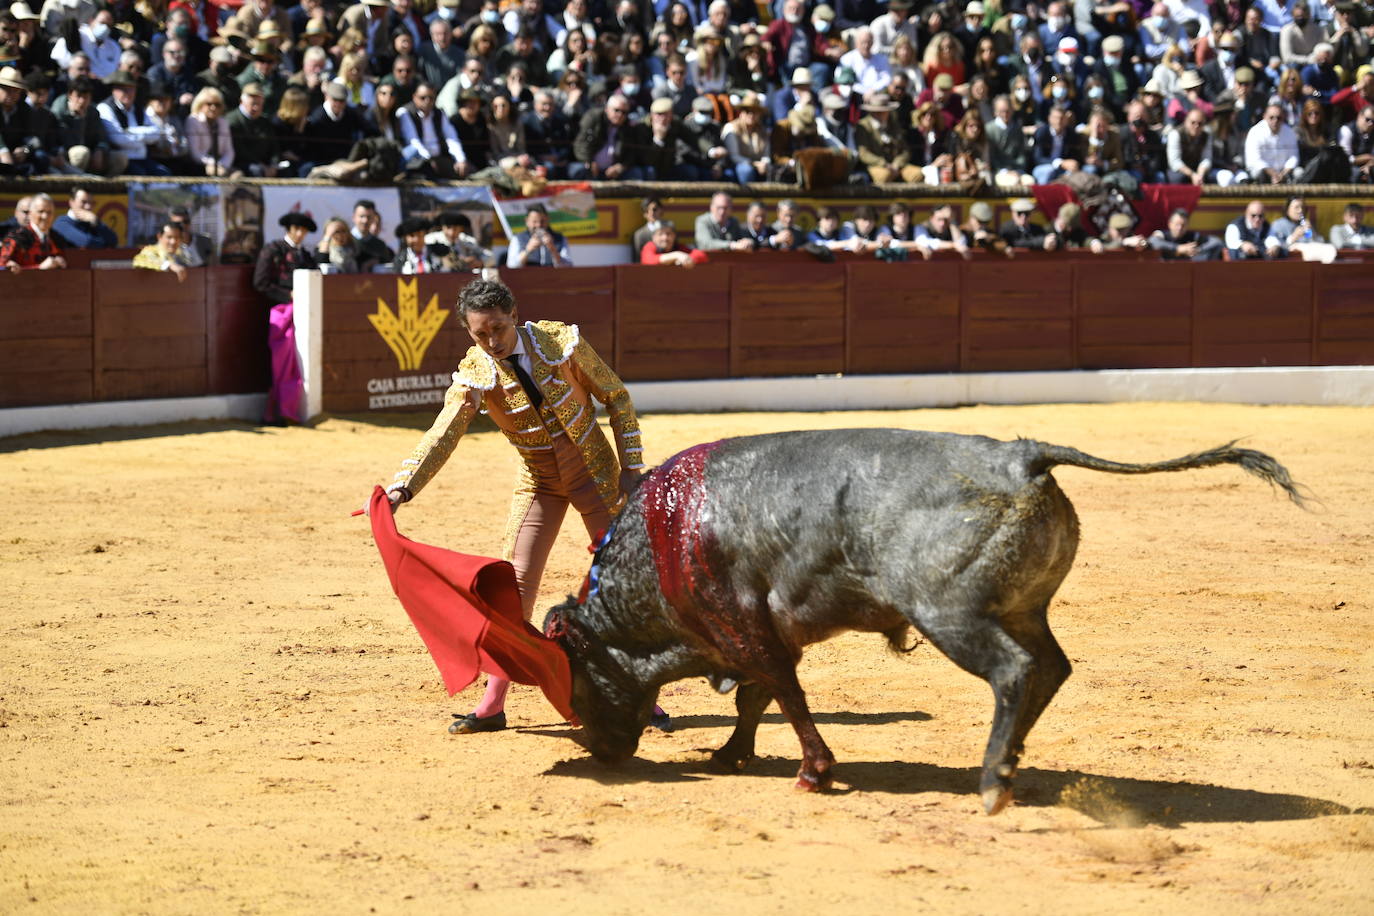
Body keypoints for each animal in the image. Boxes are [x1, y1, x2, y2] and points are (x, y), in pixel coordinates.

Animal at [535, 431, 1297, 818]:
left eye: (574, 683)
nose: (599, 753)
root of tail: (1021, 455)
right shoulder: (759, 634)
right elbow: (758, 696)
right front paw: (731, 753)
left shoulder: (746, 627)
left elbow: (782, 694)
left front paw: (813, 772)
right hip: (1021, 608)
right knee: (1051, 668)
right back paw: (1008, 764)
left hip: (948, 613)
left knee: (1015, 672)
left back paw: (990, 784)